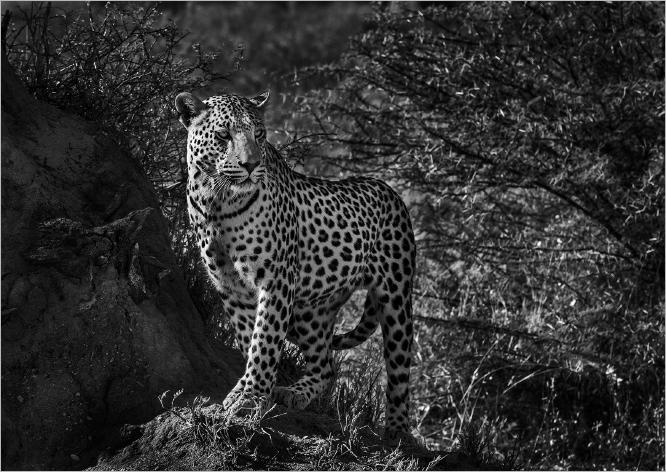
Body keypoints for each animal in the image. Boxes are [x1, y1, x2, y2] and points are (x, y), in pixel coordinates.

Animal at [174, 90, 416, 441]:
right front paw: (253, 389)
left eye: (259, 135)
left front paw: (249, 398)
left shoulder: (275, 279)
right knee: (325, 365)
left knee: (398, 367)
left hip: (396, 296)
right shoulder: (230, 286)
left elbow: (264, 339)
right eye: (223, 135)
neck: (216, 198)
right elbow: (250, 337)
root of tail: (389, 189)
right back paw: (295, 392)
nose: (251, 165)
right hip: (310, 312)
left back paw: (397, 432)